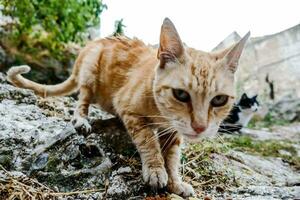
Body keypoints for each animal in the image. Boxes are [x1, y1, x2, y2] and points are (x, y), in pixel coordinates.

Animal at [8, 18, 250, 196]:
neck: (162, 116)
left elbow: (172, 158)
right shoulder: (130, 110)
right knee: (82, 100)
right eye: (181, 94)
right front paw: (155, 170)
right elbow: (148, 142)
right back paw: (82, 119)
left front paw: (175, 183)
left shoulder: (174, 133)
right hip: (90, 73)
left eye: (219, 100)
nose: (200, 127)